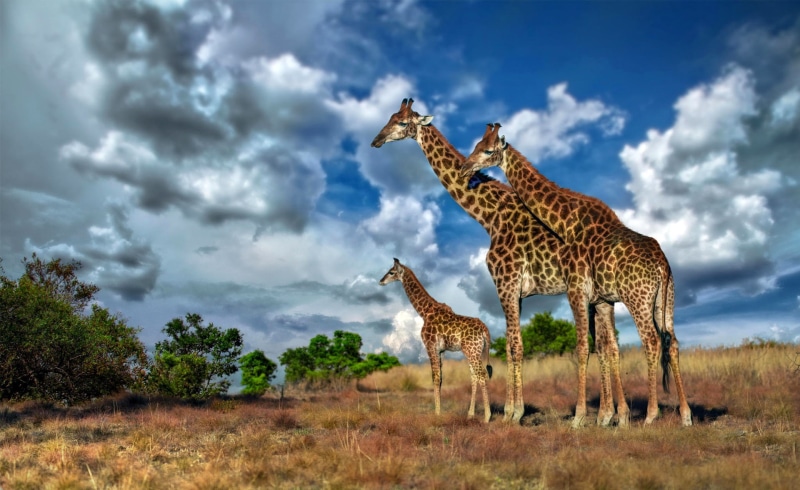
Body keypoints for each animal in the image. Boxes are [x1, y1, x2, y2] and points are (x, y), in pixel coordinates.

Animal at [380, 258, 493, 422]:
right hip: (474, 351)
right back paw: (470, 414)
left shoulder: (430, 346)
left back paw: (487, 417)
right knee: (474, 376)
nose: (381, 281)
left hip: (471, 350)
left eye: (391, 272)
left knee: (482, 374)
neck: (424, 312)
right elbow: (441, 379)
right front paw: (439, 411)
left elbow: (435, 377)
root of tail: (485, 330)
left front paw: (437, 413)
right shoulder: (441, 351)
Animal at [460, 123, 693, 427]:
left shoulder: (577, 289)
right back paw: (685, 415)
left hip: (637, 299)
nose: (465, 168)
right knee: (672, 342)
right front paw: (609, 417)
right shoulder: (599, 298)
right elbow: (604, 348)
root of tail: (662, 264)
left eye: (488, 150)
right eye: (476, 145)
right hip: (665, 300)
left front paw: (580, 418)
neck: (566, 222)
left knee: (652, 342)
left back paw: (651, 415)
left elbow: (583, 347)